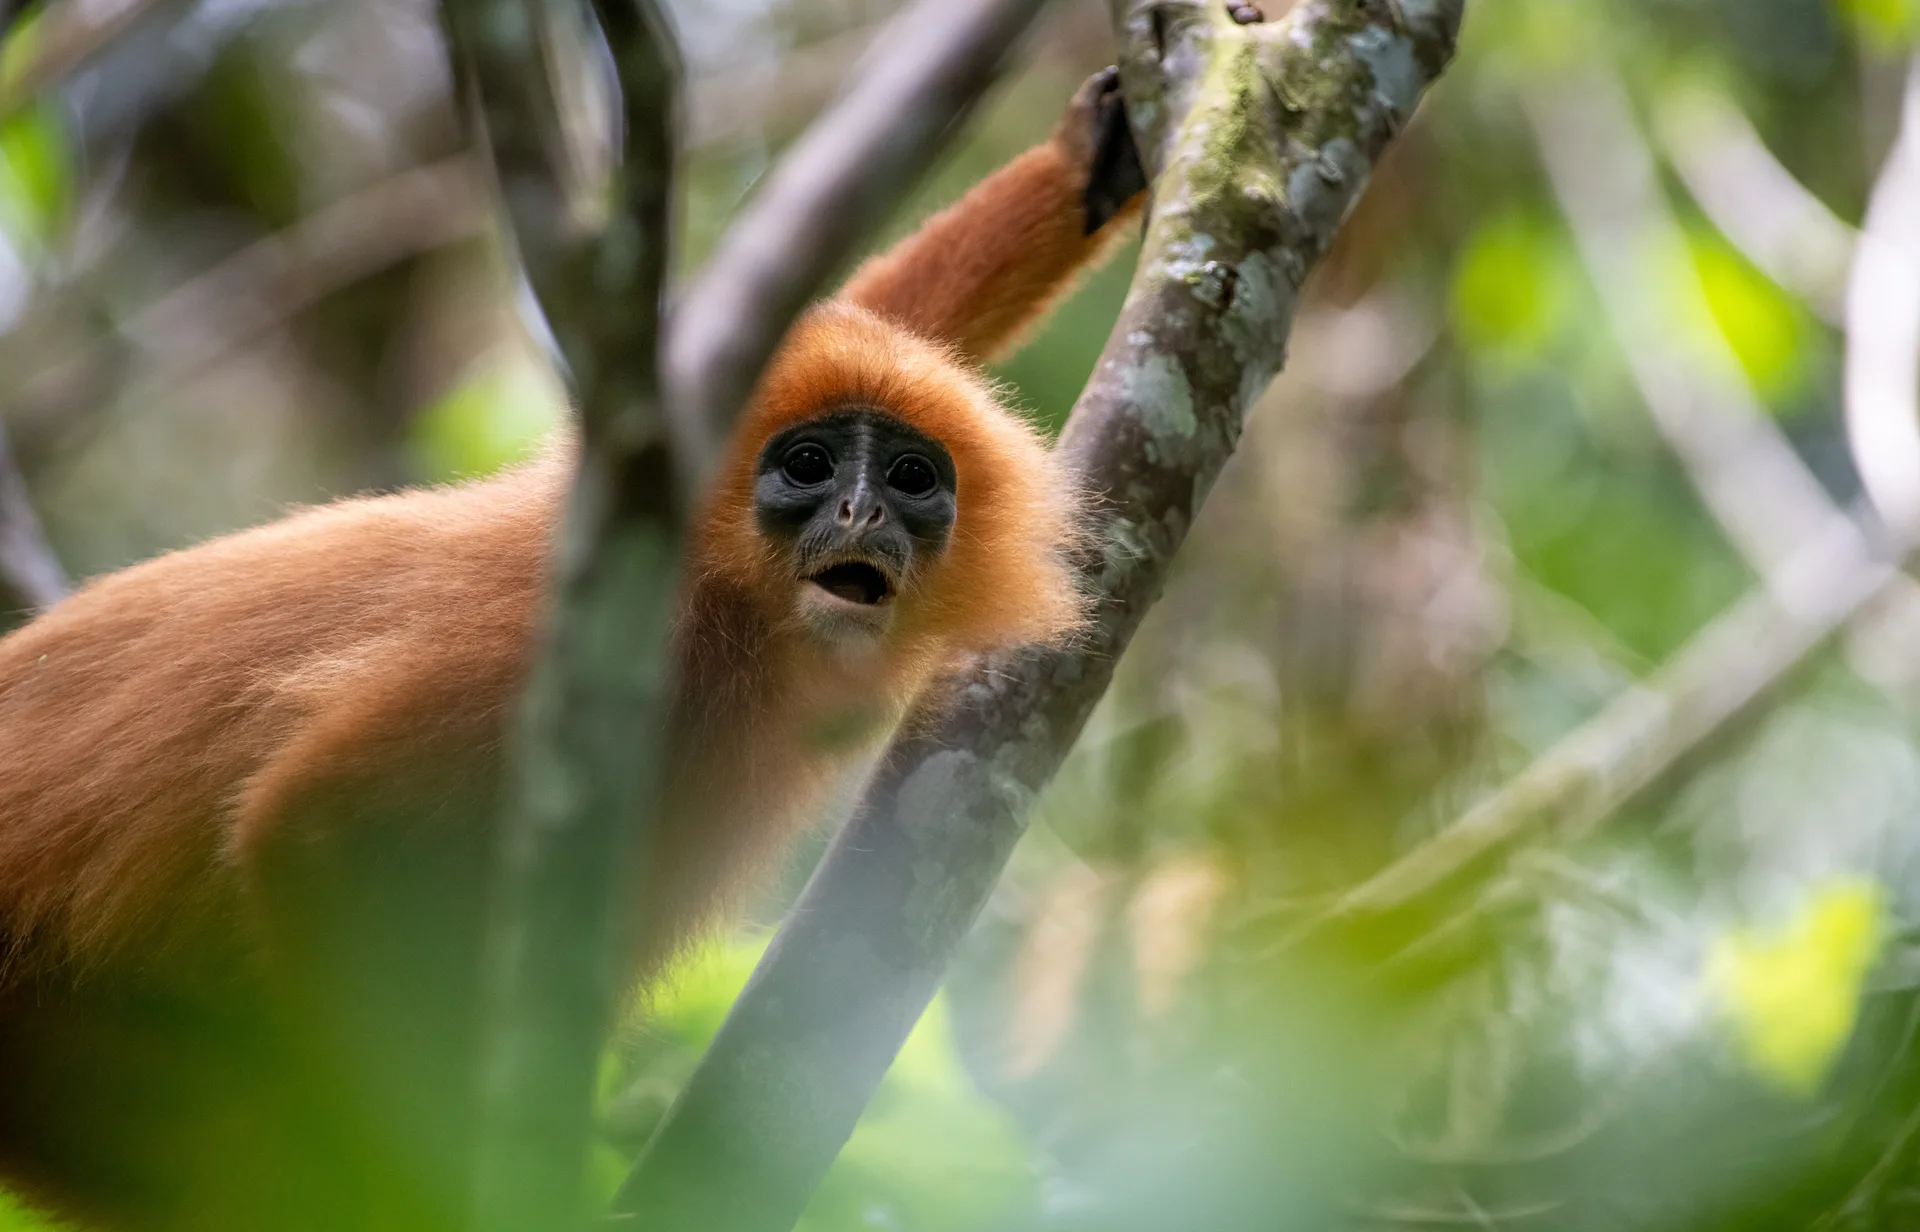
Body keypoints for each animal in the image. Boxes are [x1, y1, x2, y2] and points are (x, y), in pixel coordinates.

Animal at [0, 67, 1146, 1232]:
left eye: (911, 477)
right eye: (810, 466)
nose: (864, 509)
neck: (741, 624)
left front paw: (1087, 168)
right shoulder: (558, 644)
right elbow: (317, 823)